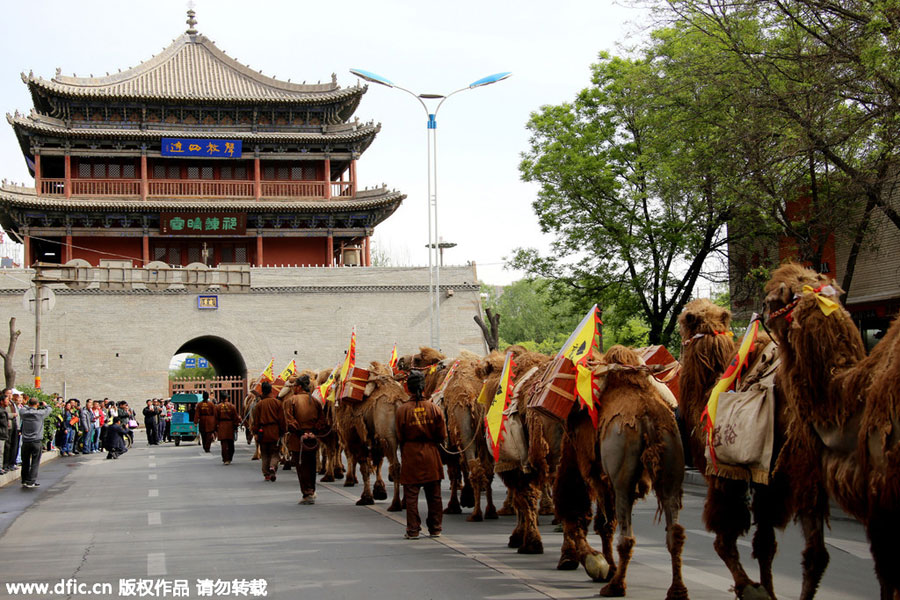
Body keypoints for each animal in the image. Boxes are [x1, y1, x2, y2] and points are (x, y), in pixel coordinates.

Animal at [334, 360, 404, 510]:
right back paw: (403, 503)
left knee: (395, 465)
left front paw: (366, 498)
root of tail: (397, 401)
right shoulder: (373, 440)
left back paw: (395, 504)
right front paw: (379, 491)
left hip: (388, 437)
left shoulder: (357, 439)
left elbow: (364, 467)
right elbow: (377, 463)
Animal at [548, 344, 688, 600]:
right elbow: (605, 522)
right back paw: (677, 590)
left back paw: (615, 586)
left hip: (623, 475)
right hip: (671, 466)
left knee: (627, 535)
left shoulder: (590, 467)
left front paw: (604, 567)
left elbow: (602, 521)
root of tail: (647, 418)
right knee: (674, 532)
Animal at [676, 300, 828, 600]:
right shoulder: (769, 481)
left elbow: (725, 538)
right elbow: (765, 543)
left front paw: (750, 587)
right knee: (816, 552)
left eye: (684, 318)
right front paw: (764, 589)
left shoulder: (724, 474)